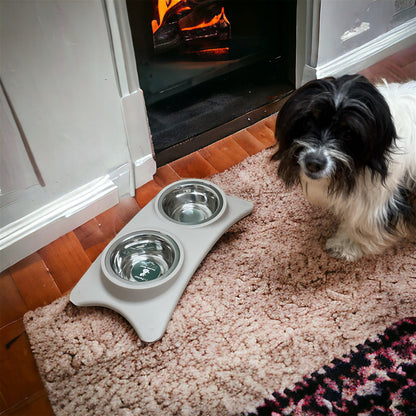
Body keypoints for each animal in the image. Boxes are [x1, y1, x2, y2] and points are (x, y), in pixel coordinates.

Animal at [272, 73, 416, 258]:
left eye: (348, 133)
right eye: (309, 123)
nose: (313, 163)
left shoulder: (381, 198)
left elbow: (364, 224)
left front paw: (345, 245)